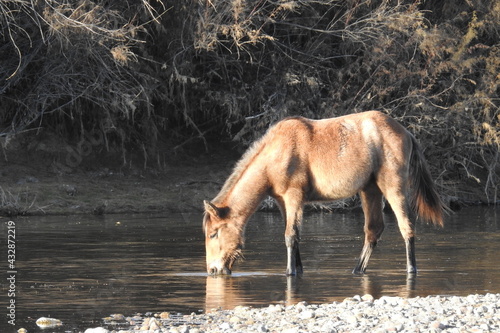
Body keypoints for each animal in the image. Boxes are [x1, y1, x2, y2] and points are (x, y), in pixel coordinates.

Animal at [201, 111, 444, 274]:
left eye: (213, 234)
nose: (212, 270)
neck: (276, 153)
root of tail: (406, 132)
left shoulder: (294, 196)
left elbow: (290, 235)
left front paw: (290, 273)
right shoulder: (282, 201)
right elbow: (292, 234)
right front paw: (298, 269)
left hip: (393, 187)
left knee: (406, 226)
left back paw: (411, 269)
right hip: (370, 190)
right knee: (373, 230)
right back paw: (357, 270)